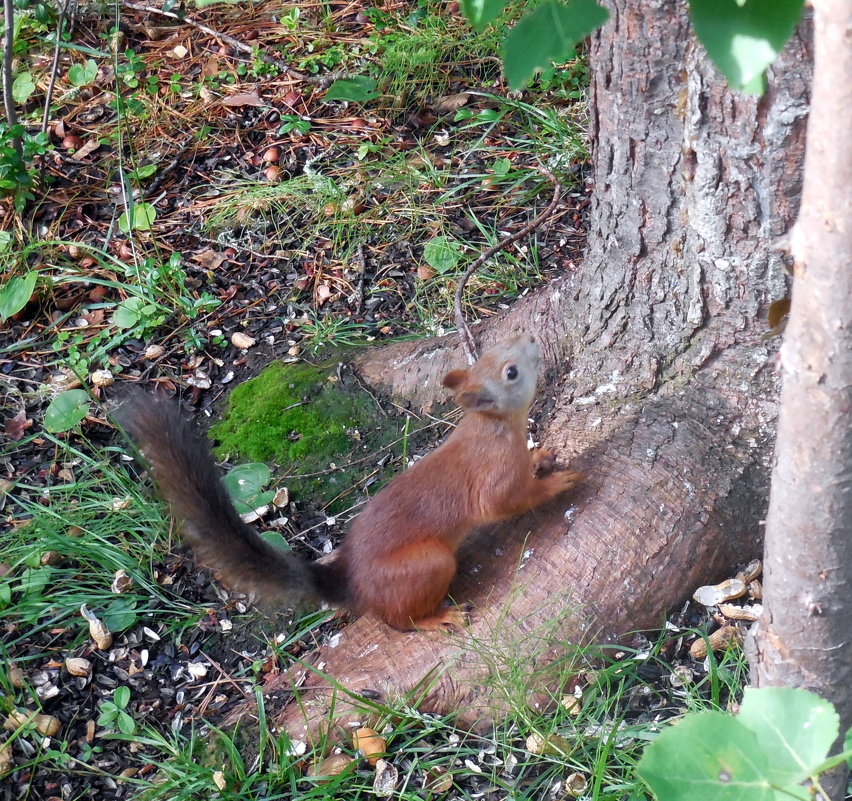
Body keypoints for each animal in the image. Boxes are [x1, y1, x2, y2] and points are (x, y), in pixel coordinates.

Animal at [118, 332, 580, 632]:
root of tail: (352, 583)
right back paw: (436, 618)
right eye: (511, 371)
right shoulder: (492, 477)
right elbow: (504, 503)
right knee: (398, 622)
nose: (531, 337)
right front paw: (559, 482)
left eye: (498, 352)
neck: (492, 428)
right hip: (428, 566)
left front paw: (540, 457)